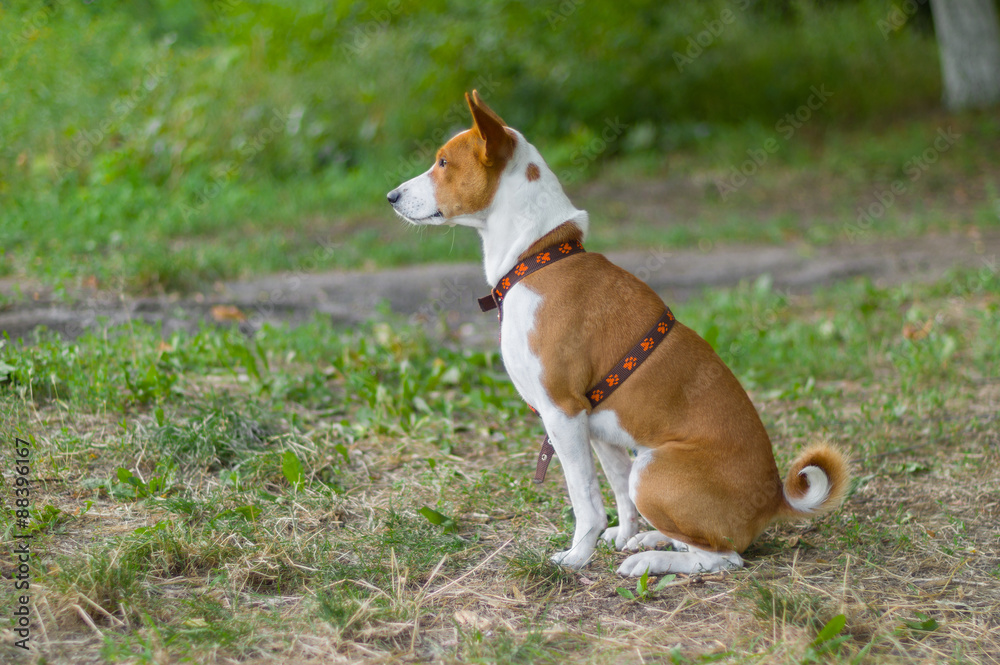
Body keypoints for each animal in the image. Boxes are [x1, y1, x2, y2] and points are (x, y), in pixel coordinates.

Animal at [386, 89, 848, 576]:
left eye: (442, 162)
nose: (391, 196)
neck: (538, 257)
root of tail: (774, 499)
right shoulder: (596, 426)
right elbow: (617, 492)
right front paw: (620, 536)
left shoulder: (563, 413)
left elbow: (586, 501)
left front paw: (576, 556)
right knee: (678, 528)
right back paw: (650, 538)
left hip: (655, 470)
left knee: (723, 558)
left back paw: (650, 560)